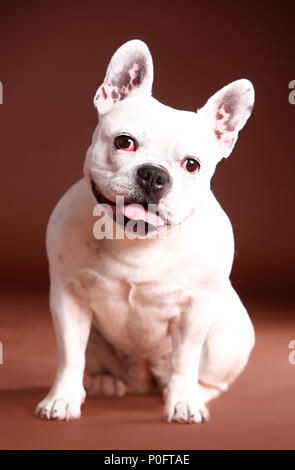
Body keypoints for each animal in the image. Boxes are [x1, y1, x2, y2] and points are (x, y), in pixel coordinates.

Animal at [35, 39, 256, 422]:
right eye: (124, 142)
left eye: (192, 165)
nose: (153, 174)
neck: (135, 241)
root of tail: (145, 381)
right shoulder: (67, 296)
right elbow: (70, 355)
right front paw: (61, 398)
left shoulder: (195, 309)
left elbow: (185, 360)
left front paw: (183, 402)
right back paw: (106, 384)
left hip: (229, 340)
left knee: (209, 378)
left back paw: (194, 393)